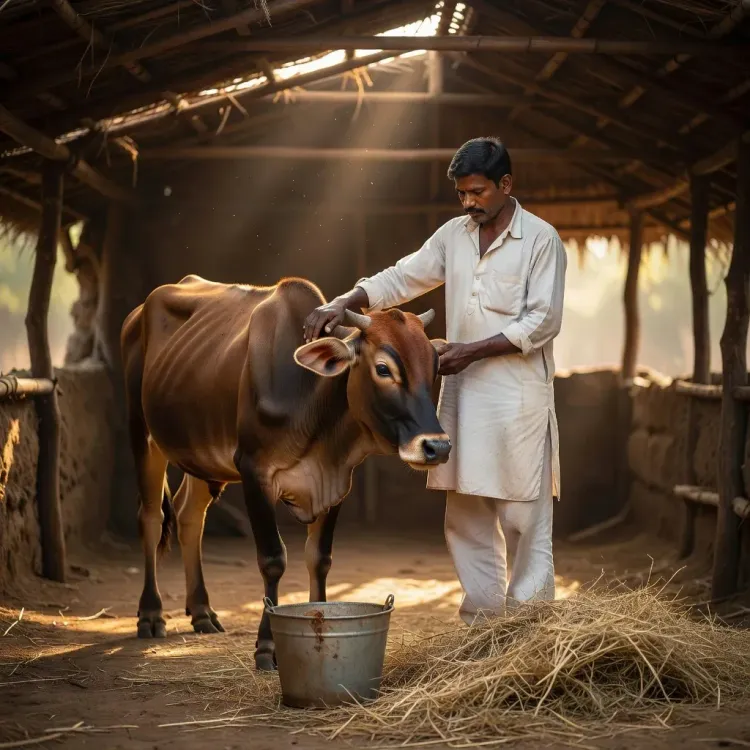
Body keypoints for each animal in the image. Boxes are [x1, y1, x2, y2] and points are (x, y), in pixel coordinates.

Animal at [120, 274, 451, 670]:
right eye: (384, 368)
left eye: (434, 367)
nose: (437, 447)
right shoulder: (254, 472)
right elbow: (273, 559)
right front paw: (267, 646)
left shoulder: (337, 482)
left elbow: (319, 559)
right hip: (143, 433)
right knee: (152, 519)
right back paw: (150, 614)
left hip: (199, 453)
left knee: (189, 517)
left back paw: (202, 612)